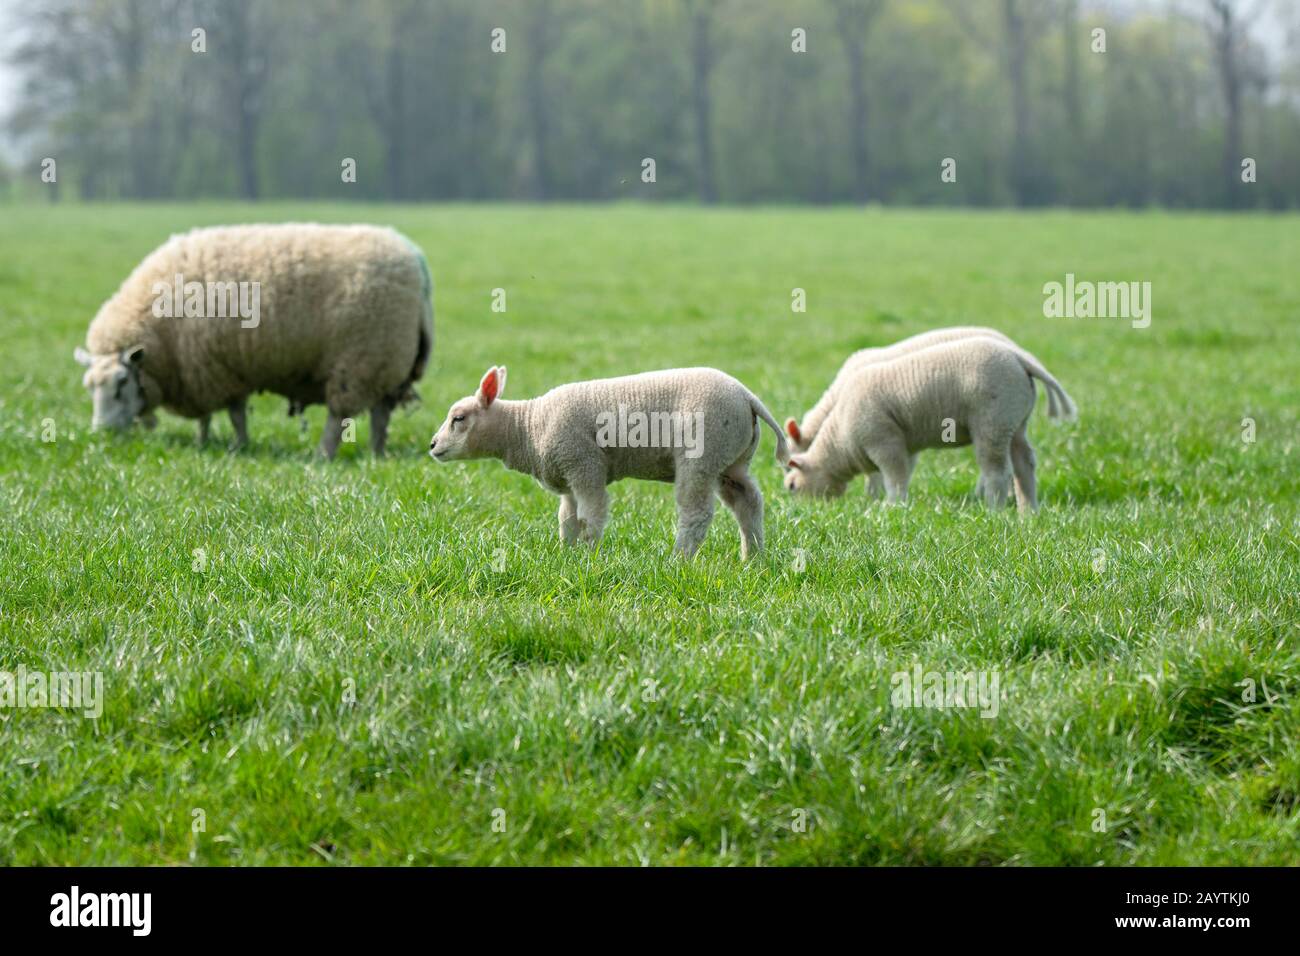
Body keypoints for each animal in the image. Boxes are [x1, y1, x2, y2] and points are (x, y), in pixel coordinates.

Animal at [73, 223, 433, 458]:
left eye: (122, 384)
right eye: (89, 388)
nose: (102, 434)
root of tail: (415, 259)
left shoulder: (210, 366)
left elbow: (233, 414)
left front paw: (238, 446)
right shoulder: (204, 370)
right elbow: (214, 415)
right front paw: (207, 441)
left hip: (361, 358)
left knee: (339, 416)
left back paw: (323, 454)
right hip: (387, 362)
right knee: (381, 415)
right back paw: (377, 453)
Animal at [428, 366, 790, 559]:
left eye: (458, 418)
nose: (432, 446)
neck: (528, 426)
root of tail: (748, 396)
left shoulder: (584, 464)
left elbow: (590, 516)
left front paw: (589, 557)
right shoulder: (567, 476)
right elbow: (567, 520)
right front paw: (567, 554)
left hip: (701, 455)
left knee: (696, 513)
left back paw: (678, 559)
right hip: (731, 461)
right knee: (748, 502)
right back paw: (753, 558)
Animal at [783, 336, 1076, 511]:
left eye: (792, 486)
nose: (802, 512)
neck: (840, 440)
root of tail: (1020, 358)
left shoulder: (883, 440)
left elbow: (894, 477)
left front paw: (891, 507)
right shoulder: (905, 443)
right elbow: (903, 472)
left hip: (993, 421)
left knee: (997, 472)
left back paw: (993, 510)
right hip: (1015, 421)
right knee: (1024, 465)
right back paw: (1028, 512)